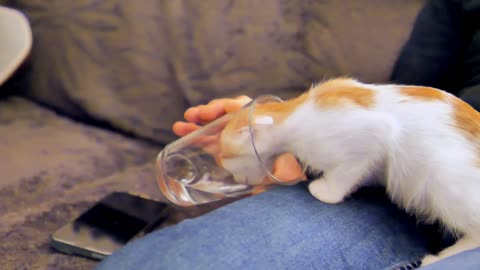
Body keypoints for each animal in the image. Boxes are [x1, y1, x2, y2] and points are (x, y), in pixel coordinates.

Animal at [220, 77, 480, 266]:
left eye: (224, 160)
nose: (234, 179)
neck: (294, 113)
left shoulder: (373, 134)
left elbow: (346, 173)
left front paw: (324, 191)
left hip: (443, 178)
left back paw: (438, 258)